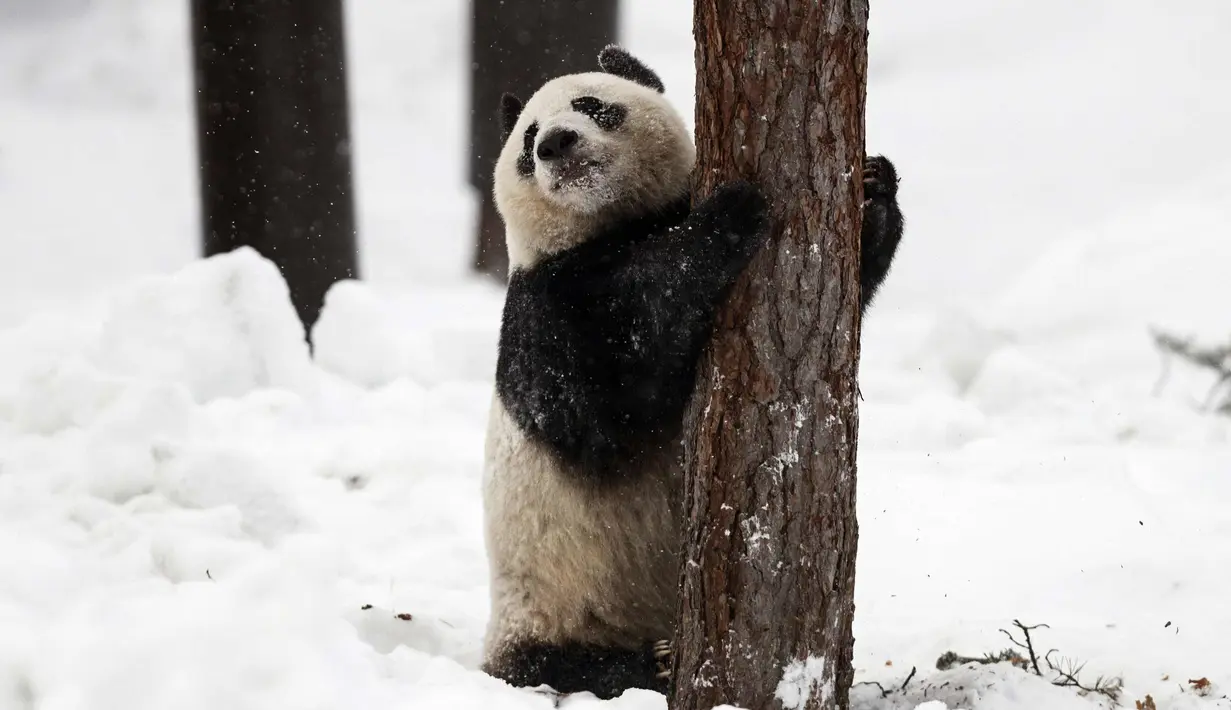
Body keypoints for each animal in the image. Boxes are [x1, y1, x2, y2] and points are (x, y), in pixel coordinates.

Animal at [481, 46, 903, 700]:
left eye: (590, 105)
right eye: (528, 140)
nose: (555, 143)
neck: (614, 224)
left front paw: (873, 185)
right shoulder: (544, 309)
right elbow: (605, 391)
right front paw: (731, 211)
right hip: (551, 603)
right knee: (566, 664)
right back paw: (651, 663)